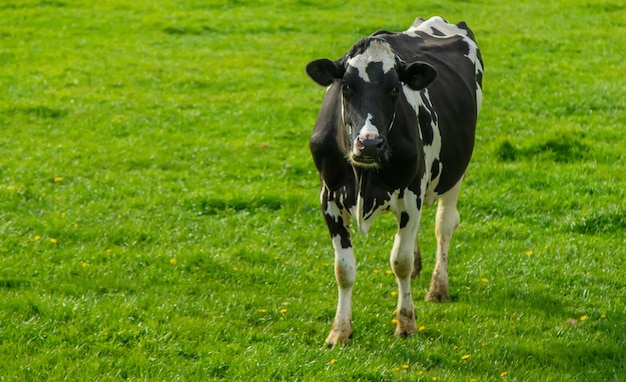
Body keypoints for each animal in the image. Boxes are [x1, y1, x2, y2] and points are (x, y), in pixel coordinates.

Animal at [304, 17, 482, 346]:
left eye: (395, 87)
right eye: (346, 86)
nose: (369, 143)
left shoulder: (411, 194)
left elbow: (400, 261)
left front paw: (406, 323)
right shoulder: (329, 197)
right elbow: (343, 268)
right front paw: (339, 331)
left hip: (456, 171)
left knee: (444, 225)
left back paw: (438, 287)